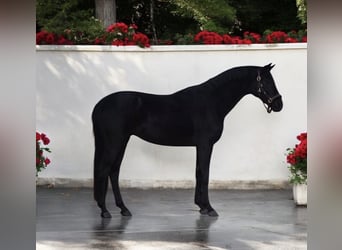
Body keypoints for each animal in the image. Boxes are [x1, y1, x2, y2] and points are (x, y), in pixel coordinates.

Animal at [92, 63, 282, 218]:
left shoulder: (200, 146)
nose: (279, 105)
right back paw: (105, 211)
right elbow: (204, 174)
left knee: (113, 172)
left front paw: (201, 206)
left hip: (122, 142)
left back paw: (123, 209)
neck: (212, 101)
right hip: (114, 143)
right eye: (266, 82)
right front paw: (210, 208)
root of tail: (99, 106)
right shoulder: (205, 144)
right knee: (104, 170)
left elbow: (198, 172)